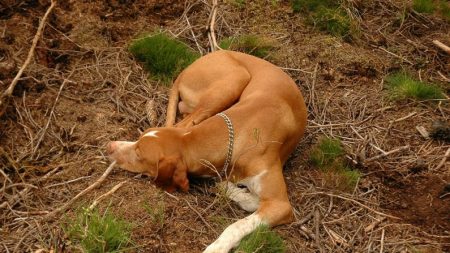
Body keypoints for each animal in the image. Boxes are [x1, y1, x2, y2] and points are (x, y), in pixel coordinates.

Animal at [107, 50, 308, 252]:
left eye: (139, 154)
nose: (110, 146)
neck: (241, 129)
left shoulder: (281, 204)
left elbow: (238, 224)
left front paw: (217, 247)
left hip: (235, 79)